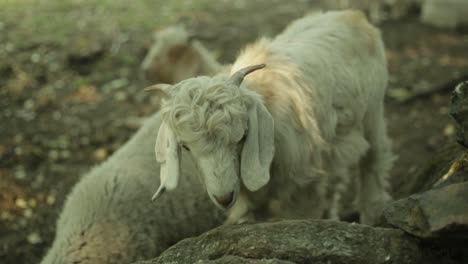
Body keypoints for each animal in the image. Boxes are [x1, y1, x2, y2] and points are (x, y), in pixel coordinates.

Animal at [150, 9, 394, 225]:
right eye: (185, 147)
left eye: (242, 137)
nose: (224, 198)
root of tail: (351, 14)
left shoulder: (303, 188)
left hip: (373, 114)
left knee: (374, 160)